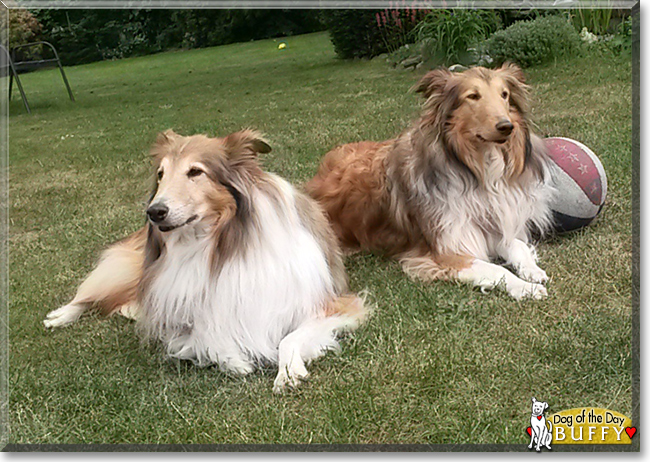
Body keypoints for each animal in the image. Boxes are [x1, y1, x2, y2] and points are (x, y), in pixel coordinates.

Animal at [44, 128, 370, 392]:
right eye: (161, 174)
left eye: (195, 172)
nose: (154, 212)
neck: (220, 246)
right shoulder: (176, 317)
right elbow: (206, 338)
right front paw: (236, 360)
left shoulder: (331, 304)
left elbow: (289, 338)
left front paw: (288, 372)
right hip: (132, 270)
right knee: (91, 293)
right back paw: (60, 316)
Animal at [308, 64, 552, 300]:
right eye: (473, 96)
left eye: (504, 94)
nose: (506, 127)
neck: (476, 171)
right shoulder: (446, 251)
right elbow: (496, 269)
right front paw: (525, 288)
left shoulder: (492, 223)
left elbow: (518, 245)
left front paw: (532, 270)